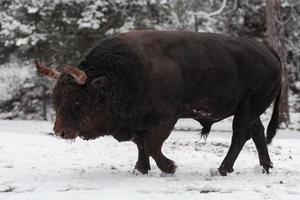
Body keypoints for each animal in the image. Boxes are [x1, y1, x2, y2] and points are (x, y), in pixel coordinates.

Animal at [34, 30, 282, 176]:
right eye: (56, 99)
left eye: (77, 101)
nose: (60, 131)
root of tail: (268, 52)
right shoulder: (135, 122)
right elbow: (140, 144)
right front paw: (140, 169)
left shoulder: (165, 119)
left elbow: (152, 145)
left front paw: (169, 167)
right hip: (250, 110)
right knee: (257, 132)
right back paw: (265, 167)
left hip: (249, 108)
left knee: (239, 135)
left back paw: (222, 169)